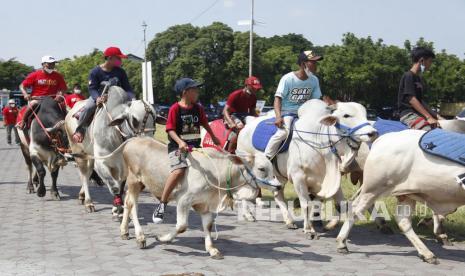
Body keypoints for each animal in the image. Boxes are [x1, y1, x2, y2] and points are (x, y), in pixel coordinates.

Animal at [236, 99, 376, 235]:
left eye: (365, 114)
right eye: (346, 115)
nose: (373, 133)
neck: (319, 141)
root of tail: (248, 124)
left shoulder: (330, 179)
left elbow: (341, 204)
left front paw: (330, 225)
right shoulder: (298, 177)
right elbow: (306, 204)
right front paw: (308, 228)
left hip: (278, 177)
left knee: (278, 194)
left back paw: (289, 221)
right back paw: (249, 215)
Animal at [336, 130, 464, 264]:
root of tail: (383, 138)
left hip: (406, 194)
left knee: (403, 220)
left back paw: (427, 253)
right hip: (373, 188)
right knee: (355, 209)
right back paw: (341, 242)